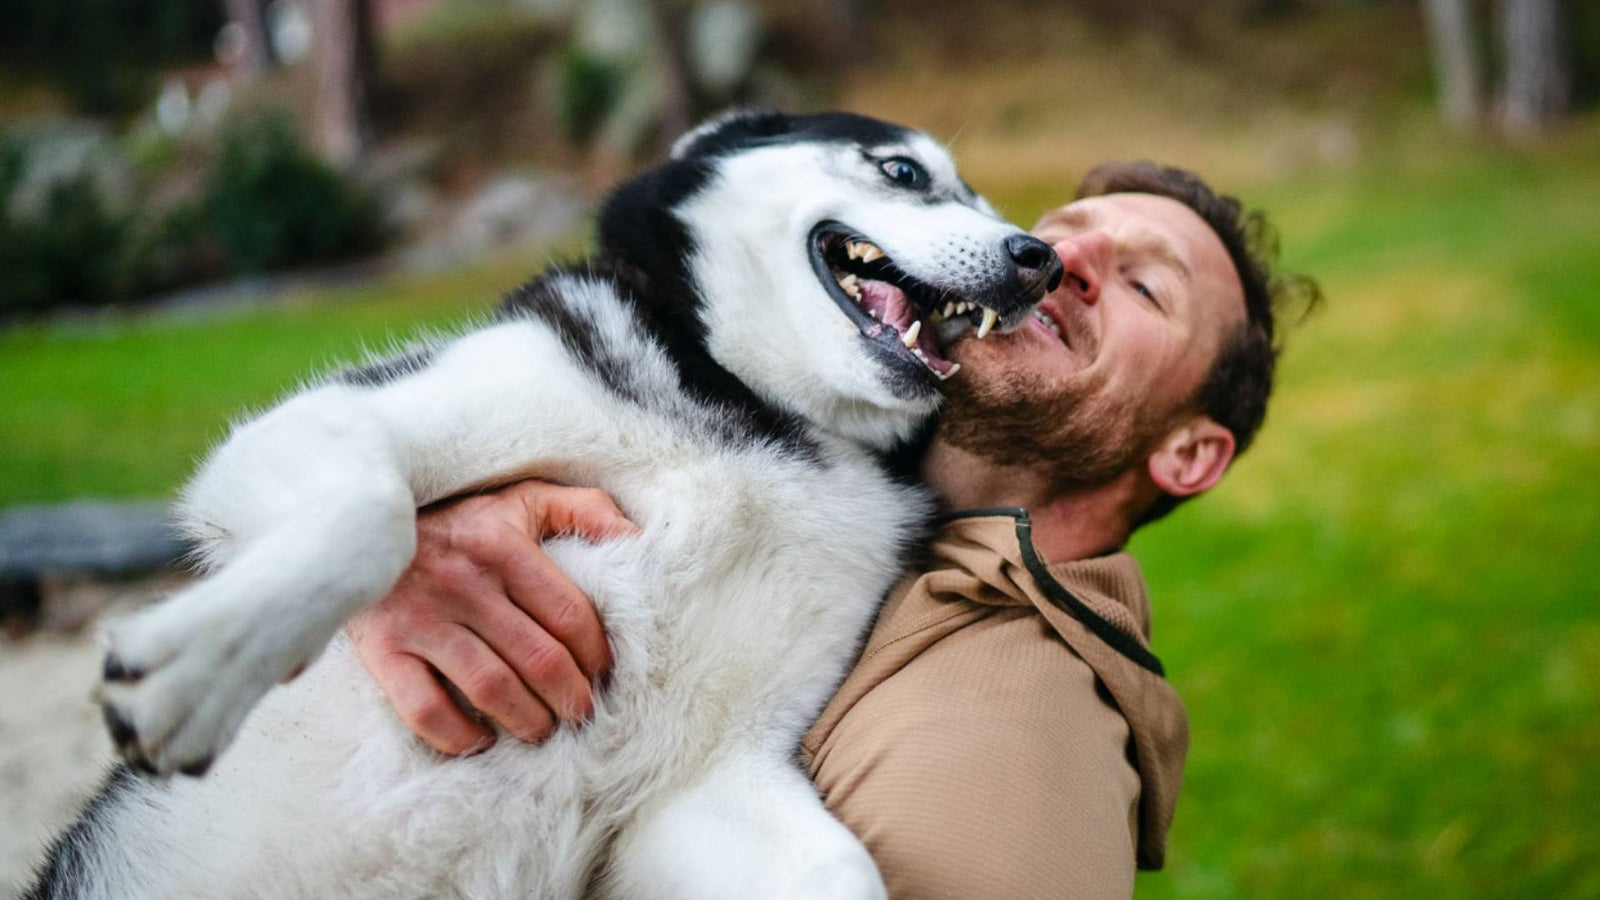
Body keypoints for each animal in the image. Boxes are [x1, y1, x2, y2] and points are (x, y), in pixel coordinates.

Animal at [25, 110, 1062, 896]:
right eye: (903, 171)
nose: (1040, 259)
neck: (770, 415)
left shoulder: (707, 776)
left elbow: (839, 870)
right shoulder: (327, 420)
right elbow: (372, 513)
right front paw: (197, 672)